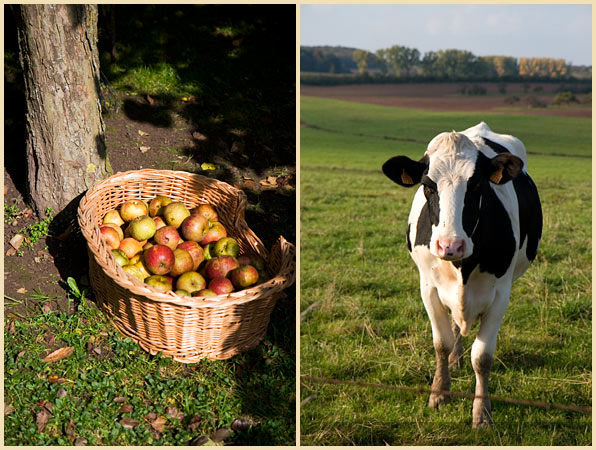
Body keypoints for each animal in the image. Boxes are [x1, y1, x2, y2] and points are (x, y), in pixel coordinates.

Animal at [384, 121, 544, 428]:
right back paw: (455, 359)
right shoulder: (428, 287)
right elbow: (441, 343)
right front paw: (439, 393)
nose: (450, 245)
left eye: (477, 184)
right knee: (455, 327)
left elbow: (482, 357)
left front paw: (482, 413)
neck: (462, 266)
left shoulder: (500, 293)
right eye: (427, 185)